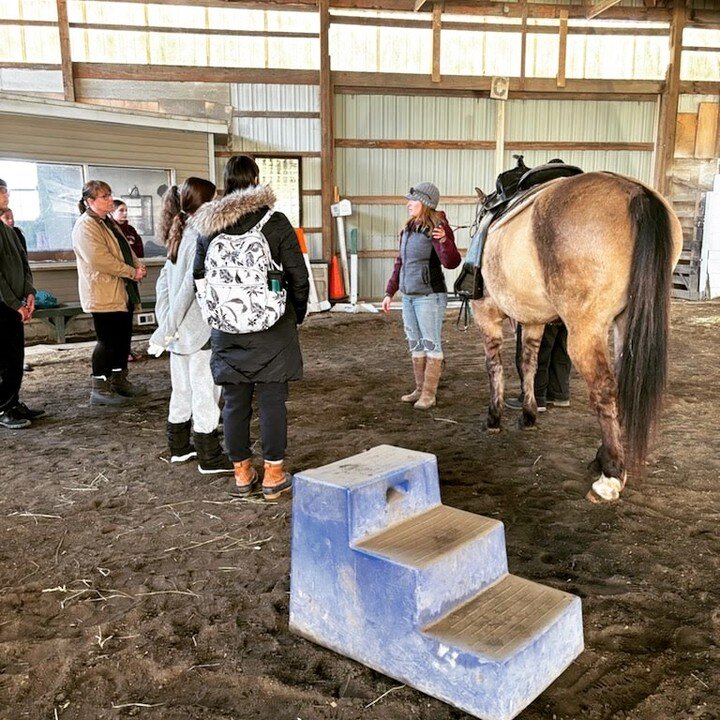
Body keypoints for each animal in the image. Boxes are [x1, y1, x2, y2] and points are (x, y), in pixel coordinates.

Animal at [470, 172, 684, 504]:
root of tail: (635, 192)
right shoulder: (533, 322)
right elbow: (529, 363)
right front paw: (528, 415)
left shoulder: (485, 314)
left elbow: (494, 366)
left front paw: (494, 417)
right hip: (625, 324)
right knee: (621, 384)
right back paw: (603, 458)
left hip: (585, 330)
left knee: (605, 388)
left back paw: (610, 475)